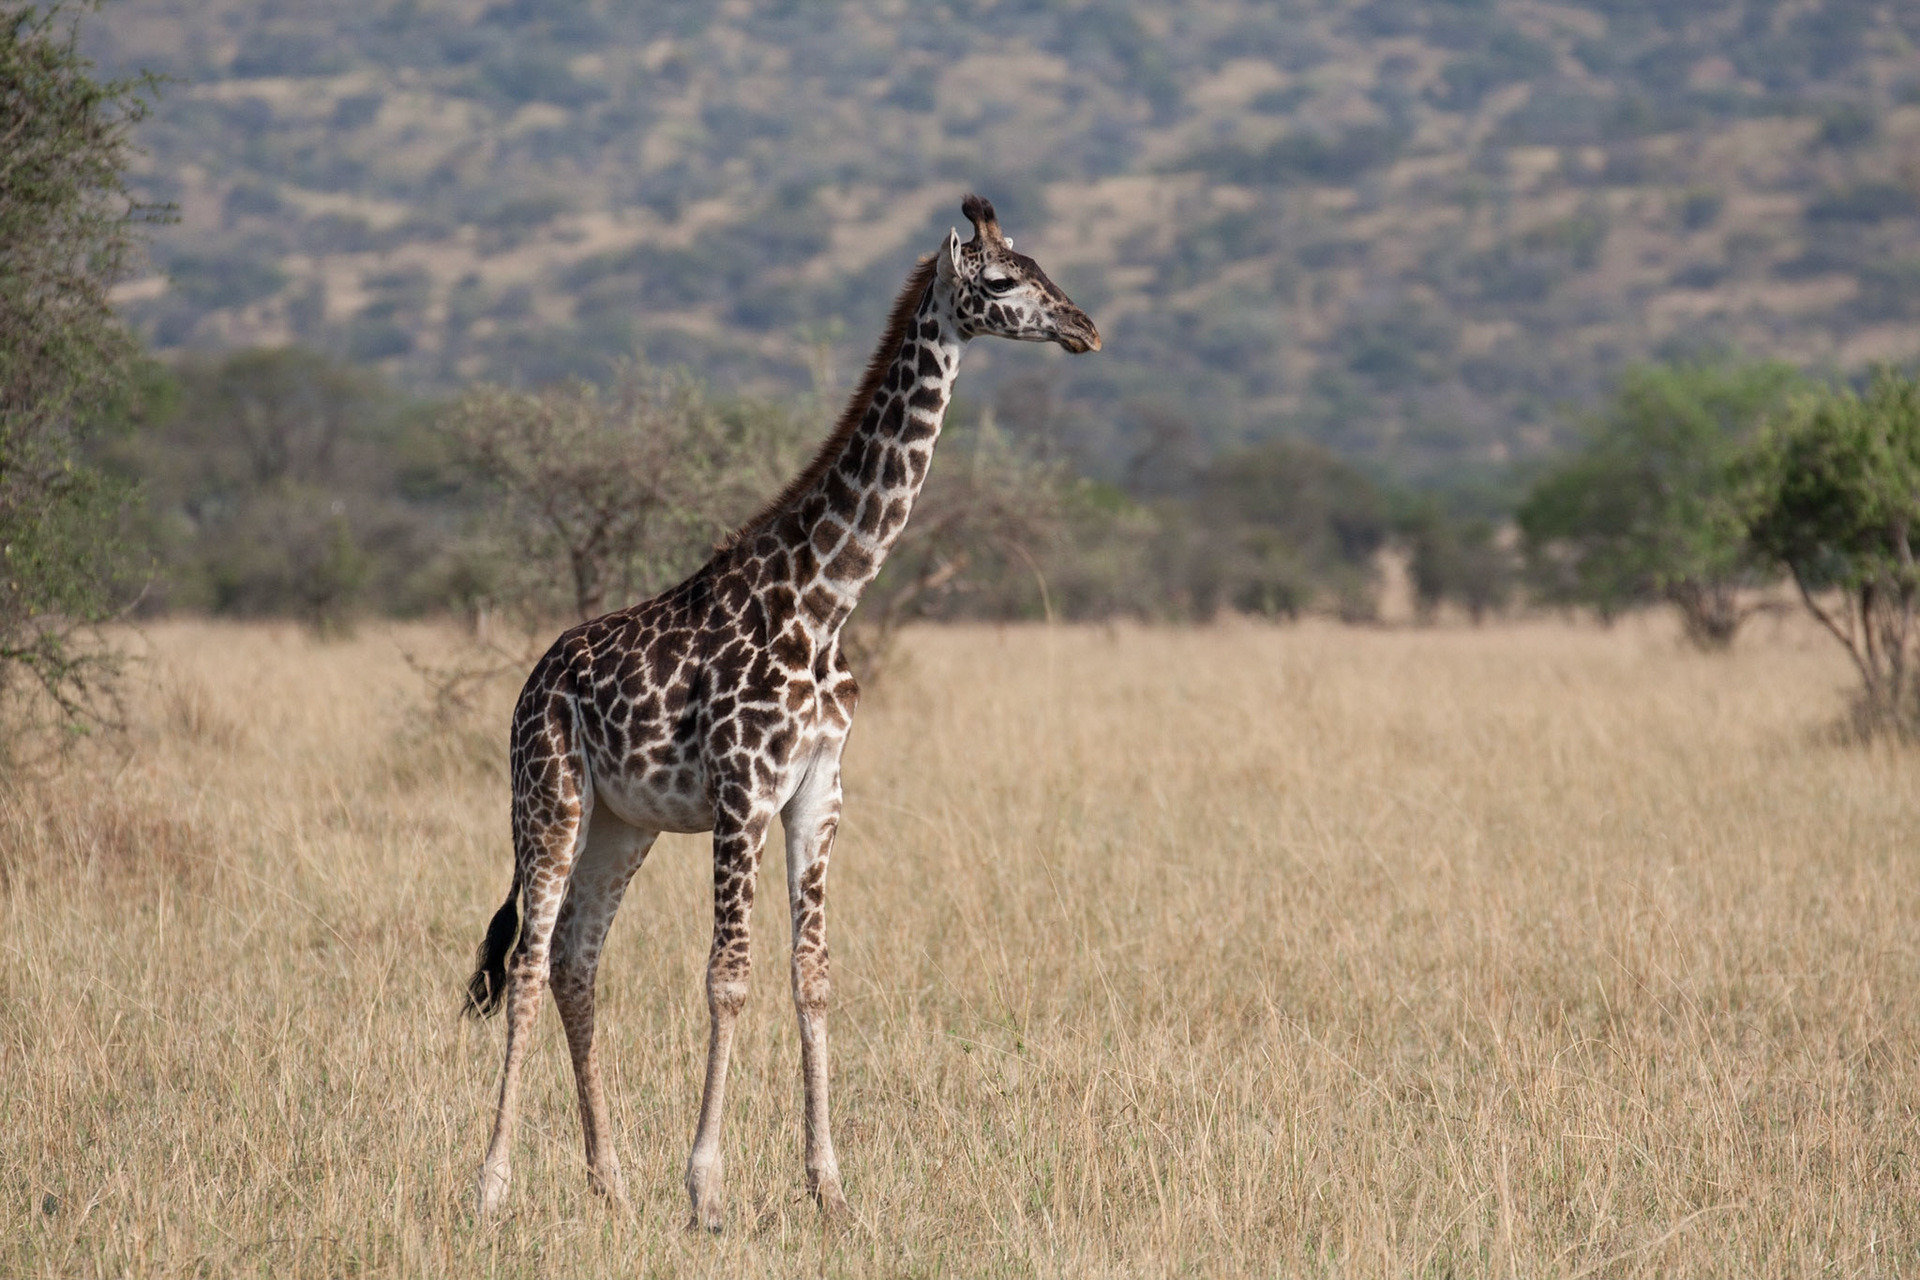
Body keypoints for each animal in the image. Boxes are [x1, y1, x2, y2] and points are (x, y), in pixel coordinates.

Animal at [464, 194, 1100, 1230]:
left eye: (1046, 268)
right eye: (1005, 281)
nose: (1086, 328)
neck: (827, 600)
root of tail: (531, 681)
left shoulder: (818, 793)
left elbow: (814, 979)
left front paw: (829, 1187)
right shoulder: (744, 791)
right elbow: (729, 981)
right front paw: (707, 1193)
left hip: (623, 823)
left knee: (574, 959)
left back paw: (608, 1181)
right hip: (547, 798)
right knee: (524, 961)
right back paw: (492, 1187)